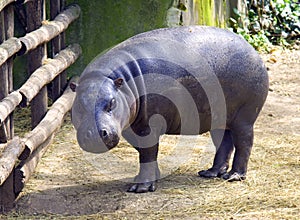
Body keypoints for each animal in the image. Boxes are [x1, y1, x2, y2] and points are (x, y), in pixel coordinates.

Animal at [71, 26, 268, 192]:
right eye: (78, 105)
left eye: (112, 102)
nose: (94, 135)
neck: (120, 80)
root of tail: (251, 49)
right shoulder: (129, 128)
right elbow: (144, 152)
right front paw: (149, 178)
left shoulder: (147, 126)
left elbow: (148, 153)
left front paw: (141, 188)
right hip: (220, 118)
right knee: (224, 142)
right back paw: (210, 172)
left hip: (244, 117)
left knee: (244, 143)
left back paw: (234, 176)